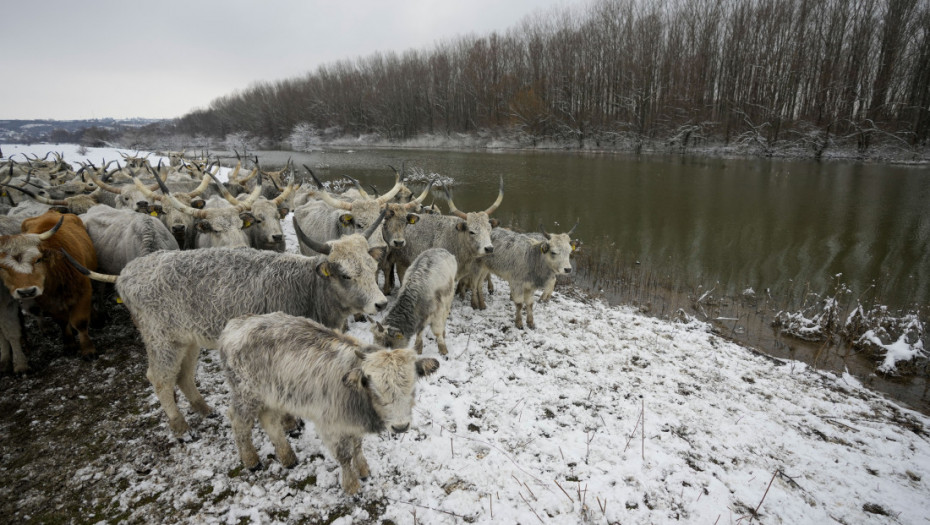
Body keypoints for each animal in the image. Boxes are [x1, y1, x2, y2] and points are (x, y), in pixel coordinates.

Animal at [0, 211, 99, 358]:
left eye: (38, 260)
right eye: (2, 267)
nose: (27, 292)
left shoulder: (83, 292)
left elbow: (80, 322)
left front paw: (88, 349)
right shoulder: (48, 303)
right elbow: (62, 321)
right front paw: (69, 344)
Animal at [63, 214, 384, 438]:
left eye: (373, 267)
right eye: (345, 274)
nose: (381, 303)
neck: (306, 288)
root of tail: (128, 272)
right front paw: (290, 423)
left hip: (187, 340)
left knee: (184, 376)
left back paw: (204, 410)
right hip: (161, 341)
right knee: (160, 379)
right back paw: (180, 426)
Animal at [218, 314, 438, 494]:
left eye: (412, 387)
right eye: (374, 389)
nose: (400, 427)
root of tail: (236, 323)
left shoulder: (352, 423)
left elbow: (357, 446)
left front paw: (364, 470)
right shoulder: (332, 426)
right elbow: (345, 456)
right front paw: (351, 485)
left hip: (270, 396)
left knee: (270, 421)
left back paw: (288, 457)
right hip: (246, 395)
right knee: (239, 422)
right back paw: (251, 460)